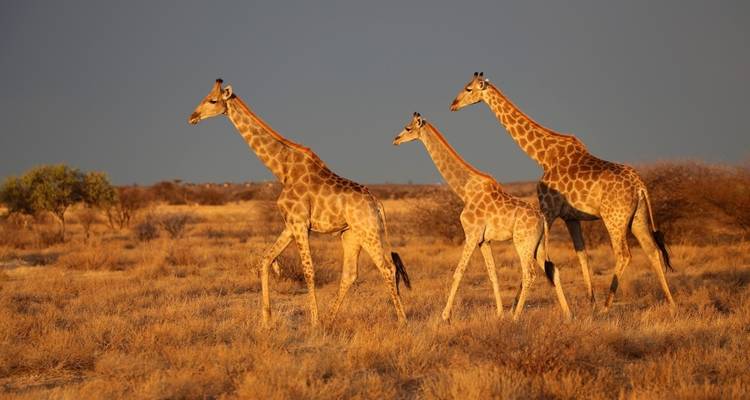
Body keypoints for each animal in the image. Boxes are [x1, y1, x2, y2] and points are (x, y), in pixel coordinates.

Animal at [188, 79, 411, 327]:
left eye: (212, 100)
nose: (192, 117)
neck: (282, 169)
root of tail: (378, 204)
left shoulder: (300, 223)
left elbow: (308, 270)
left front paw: (313, 321)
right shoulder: (290, 224)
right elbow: (265, 260)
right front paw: (266, 320)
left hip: (368, 230)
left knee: (387, 268)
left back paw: (402, 321)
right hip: (351, 234)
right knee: (351, 274)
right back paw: (330, 319)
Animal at [393, 113, 571, 321]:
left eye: (408, 128)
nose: (395, 140)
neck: (465, 190)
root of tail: (542, 219)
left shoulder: (471, 235)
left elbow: (459, 272)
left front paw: (445, 315)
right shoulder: (484, 240)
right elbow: (493, 273)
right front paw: (499, 313)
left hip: (523, 242)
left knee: (529, 274)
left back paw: (516, 317)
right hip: (539, 245)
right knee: (553, 270)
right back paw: (568, 314)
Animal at [450, 72, 675, 311]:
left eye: (468, 88)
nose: (453, 104)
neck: (543, 156)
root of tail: (640, 186)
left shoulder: (548, 209)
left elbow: (540, 257)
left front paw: (514, 307)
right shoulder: (571, 217)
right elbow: (582, 255)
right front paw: (590, 303)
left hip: (615, 218)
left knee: (624, 254)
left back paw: (607, 306)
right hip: (638, 216)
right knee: (653, 250)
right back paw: (671, 304)